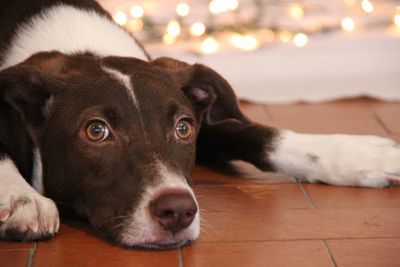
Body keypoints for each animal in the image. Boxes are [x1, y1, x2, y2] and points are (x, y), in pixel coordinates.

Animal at [0, 0, 398, 251]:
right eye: (96, 131)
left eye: (183, 128)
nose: (178, 211)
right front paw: (22, 197)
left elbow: (256, 133)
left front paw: (358, 156)